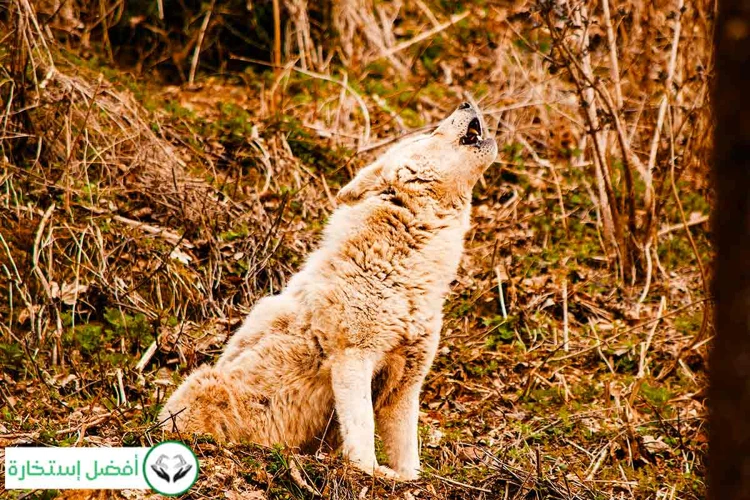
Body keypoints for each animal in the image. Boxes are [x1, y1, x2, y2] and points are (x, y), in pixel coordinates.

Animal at [159, 101, 500, 480]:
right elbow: (363, 431)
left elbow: (408, 453)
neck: (406, 273)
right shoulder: (352, 357)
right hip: (204, 384)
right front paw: (370, 471)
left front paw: (408, 478)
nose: (467, 103)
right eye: (428, 135)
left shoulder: (406, 383)